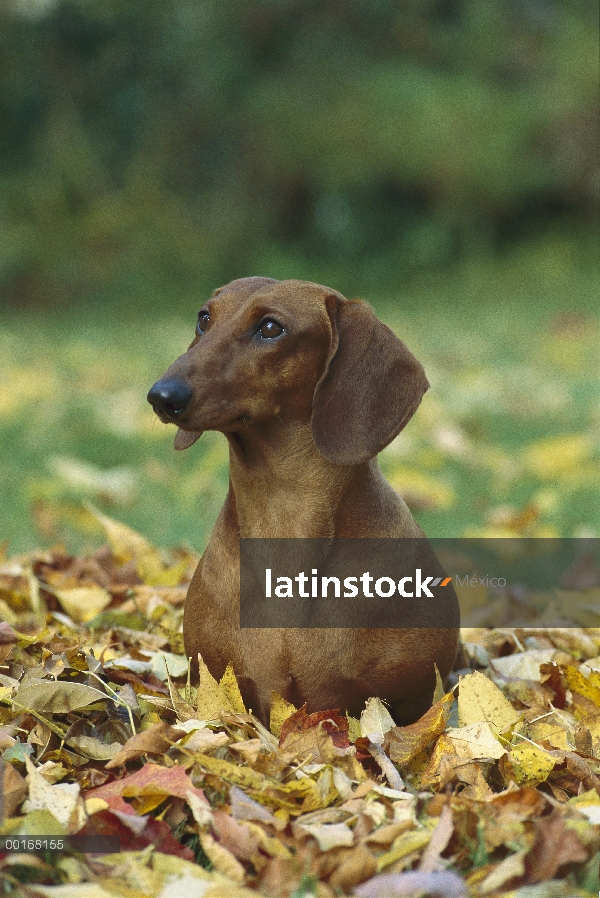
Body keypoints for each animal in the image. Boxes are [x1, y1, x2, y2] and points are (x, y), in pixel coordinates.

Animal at [148, 276, 458, 724]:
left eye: (270, 327)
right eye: (204, 318)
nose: (161, 396)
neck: (284, 518)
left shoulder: (413, 700)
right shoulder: (220, 685)